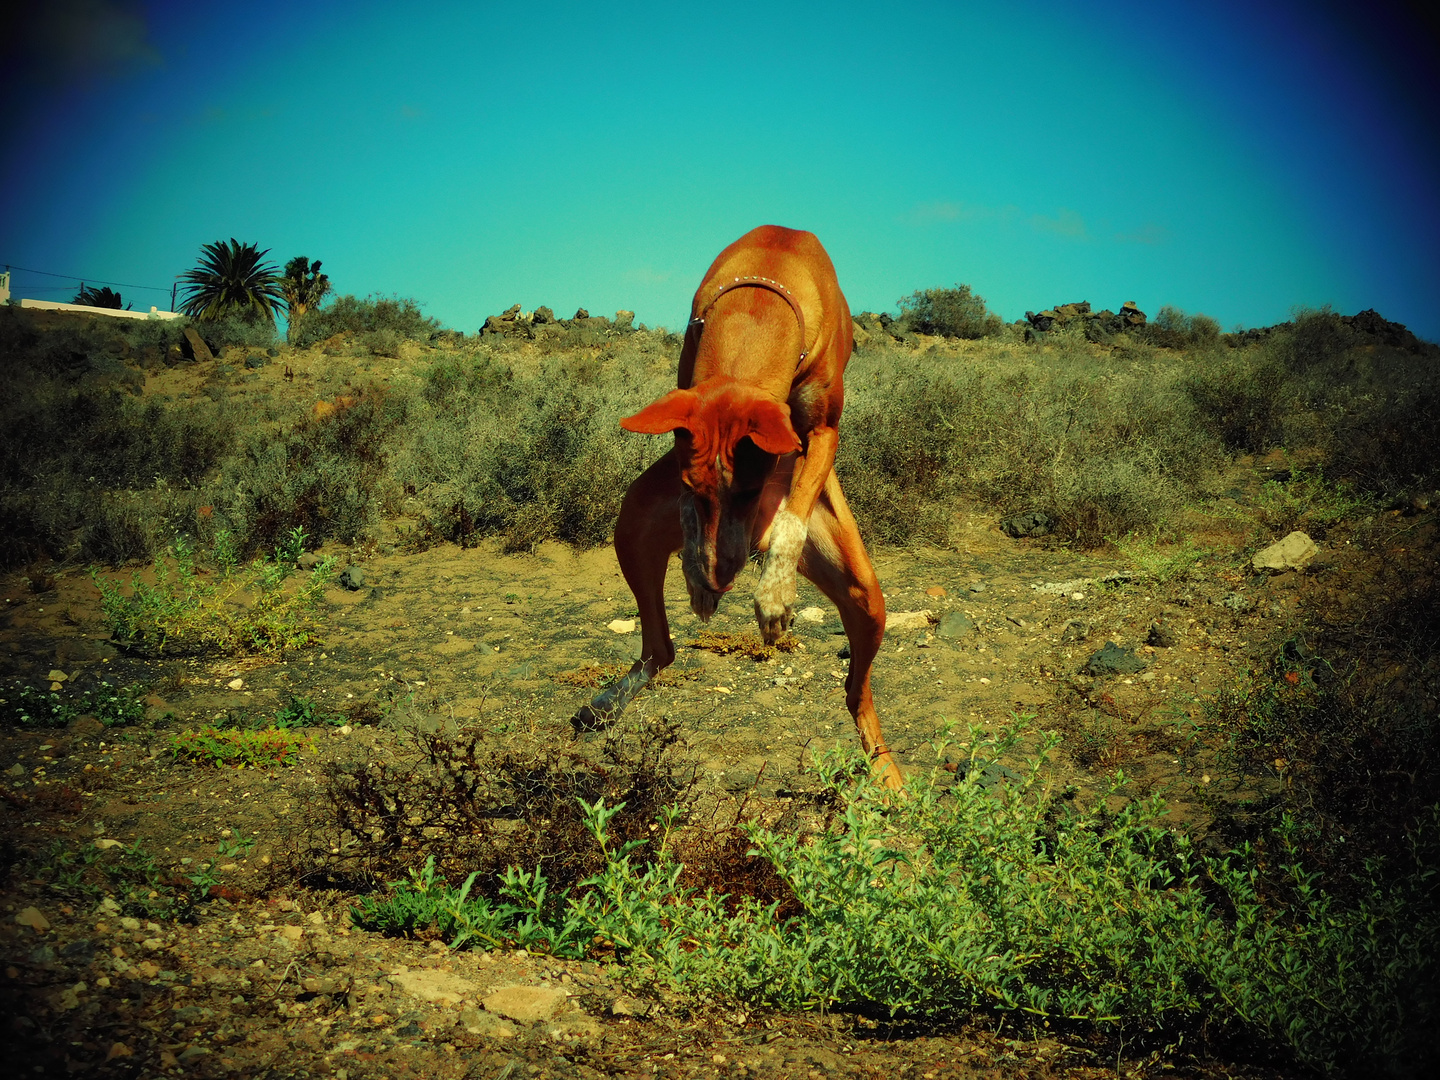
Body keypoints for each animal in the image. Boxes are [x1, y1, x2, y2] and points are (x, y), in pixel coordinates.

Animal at [567, 224, 892, 789]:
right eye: (694, 488)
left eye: (750, 491)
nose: (722, 579)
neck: (762, 295)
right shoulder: (683, 427)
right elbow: (691, 524)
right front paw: (698, 580)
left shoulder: (824, 433)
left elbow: (791, 518)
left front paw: (774, 594)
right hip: (631, 526)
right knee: (660, 648)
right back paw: (605, 705)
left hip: (867, 600)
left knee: (857, 693)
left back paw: (887, 772)